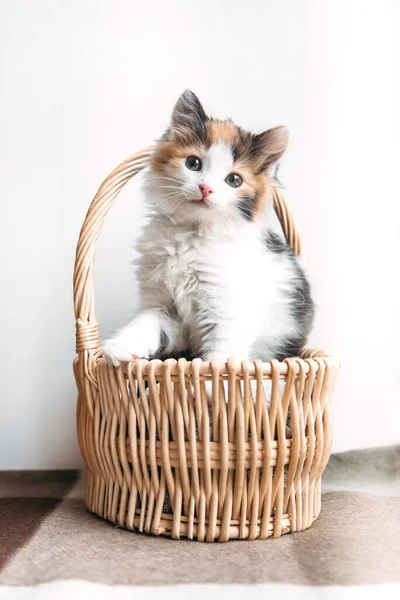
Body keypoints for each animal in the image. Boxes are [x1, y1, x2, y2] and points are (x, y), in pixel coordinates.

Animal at [102, 89, 312, 366]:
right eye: (193, 164)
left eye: (234, 180)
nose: (205, 188)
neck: (191, 235)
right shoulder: (162, 305)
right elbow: (147, 321)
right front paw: (122, 346)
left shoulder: (227, 314)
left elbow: (221, 359)